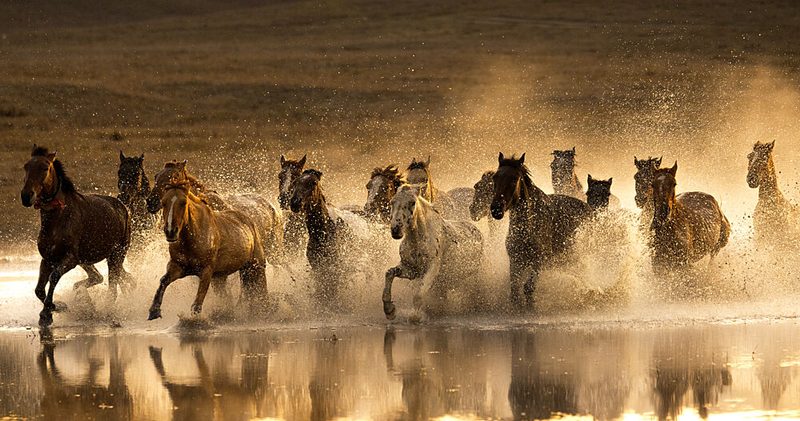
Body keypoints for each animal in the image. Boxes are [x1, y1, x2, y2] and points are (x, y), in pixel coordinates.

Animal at [21, 145, 132, 326]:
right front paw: (59, 306)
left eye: (45, 167)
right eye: (26, 166)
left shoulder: (70, 259)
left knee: (112, 288)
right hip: (88, 260)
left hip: (116, 255)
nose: (26, 196)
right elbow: (39, 290)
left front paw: (46, 314)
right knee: (99, 277)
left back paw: (106, 313)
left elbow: (54, 277)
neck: (58, 218)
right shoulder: (47, 259)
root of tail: (123, 208)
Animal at [147, 182, 269, 320]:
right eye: (163, 203)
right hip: (224, 276)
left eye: (183, 202)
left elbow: (197, 304)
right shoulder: (178, 266)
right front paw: (154, 311)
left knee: (261, 288)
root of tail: (250, 221)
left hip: (255, 266)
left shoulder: (206, 271)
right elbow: (163, 281)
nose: (170, 231)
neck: (192, 238)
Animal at [289, 169, 372, 306]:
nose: (295, 203)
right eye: (295, 182)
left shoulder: (335, 268)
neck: (323, 234)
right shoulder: (318, 268)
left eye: (313, 183)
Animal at [382, 185, 483, 319]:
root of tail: (477, 230)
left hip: (473, 276)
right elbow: (389, 273)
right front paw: (389, 310)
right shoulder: (410, 270)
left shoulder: (431, 269)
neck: (418, 241)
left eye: (412, 202)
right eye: (392, 202)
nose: (396, 230)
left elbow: (418, 295)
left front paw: (415, 318)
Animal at [490, 152, 591, 307]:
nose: (496, 209)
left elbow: (528, 288)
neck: (527, 228)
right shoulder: (515, 261)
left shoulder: (538, 262)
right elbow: (515, 290)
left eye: (514, 179)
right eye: (495, 177)